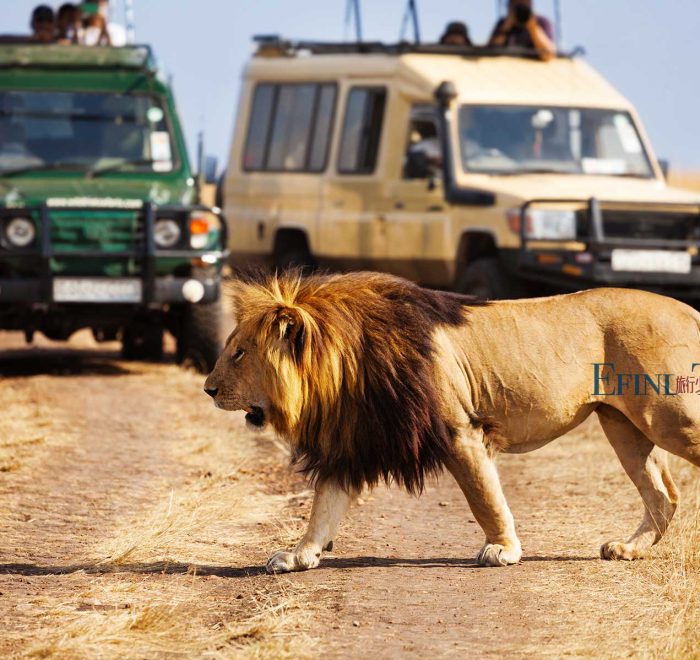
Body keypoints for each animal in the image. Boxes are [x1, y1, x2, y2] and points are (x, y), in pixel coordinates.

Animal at [205, 270, 700, 572]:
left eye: (240, 353)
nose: (208, 389)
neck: (346, 366)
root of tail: (687, 309)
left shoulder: (460, 431)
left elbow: (485, 498)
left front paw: (504, 549)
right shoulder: (353, 443)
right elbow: (323, 509)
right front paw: (298, 556)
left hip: (670, 417)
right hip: (623, 425)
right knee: (663, 494)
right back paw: (628, 549)